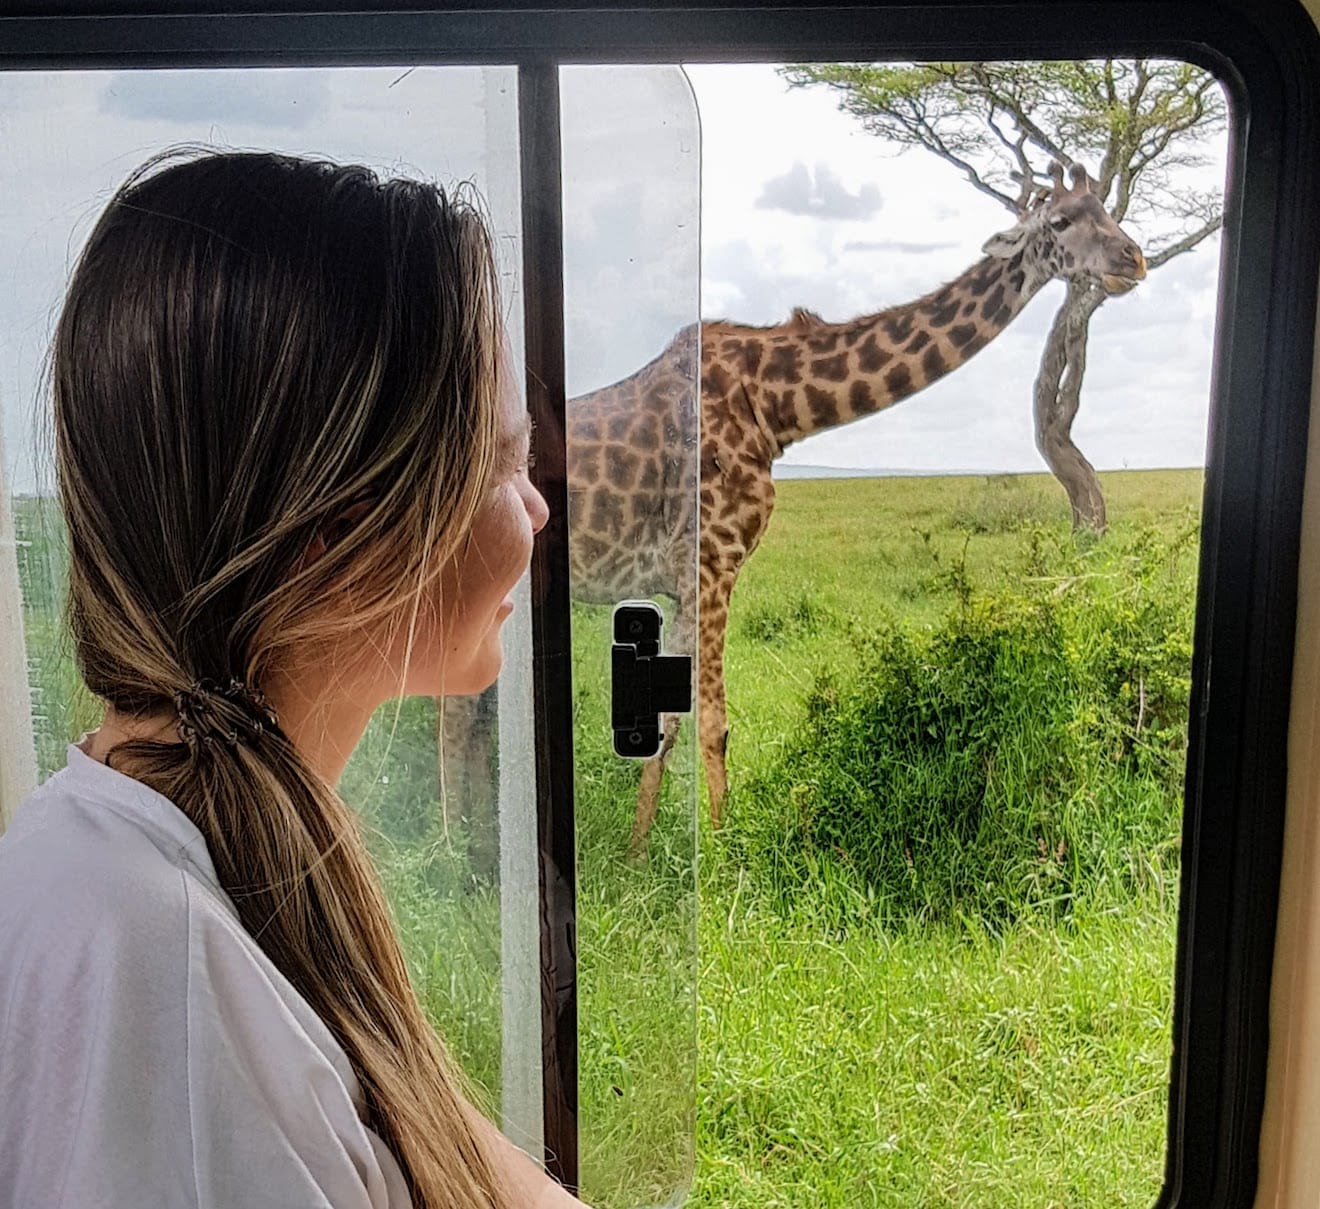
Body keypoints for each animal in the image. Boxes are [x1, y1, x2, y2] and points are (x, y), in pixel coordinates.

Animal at [562, 160, 1151, 855]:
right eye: (1059, 221)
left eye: (1107, 212)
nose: (1134, 259)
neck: (776, 405)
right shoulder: (713, 564)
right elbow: (713, 723)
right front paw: (728, 857)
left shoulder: (686, 579)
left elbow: (670, 723)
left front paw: (636, 856)